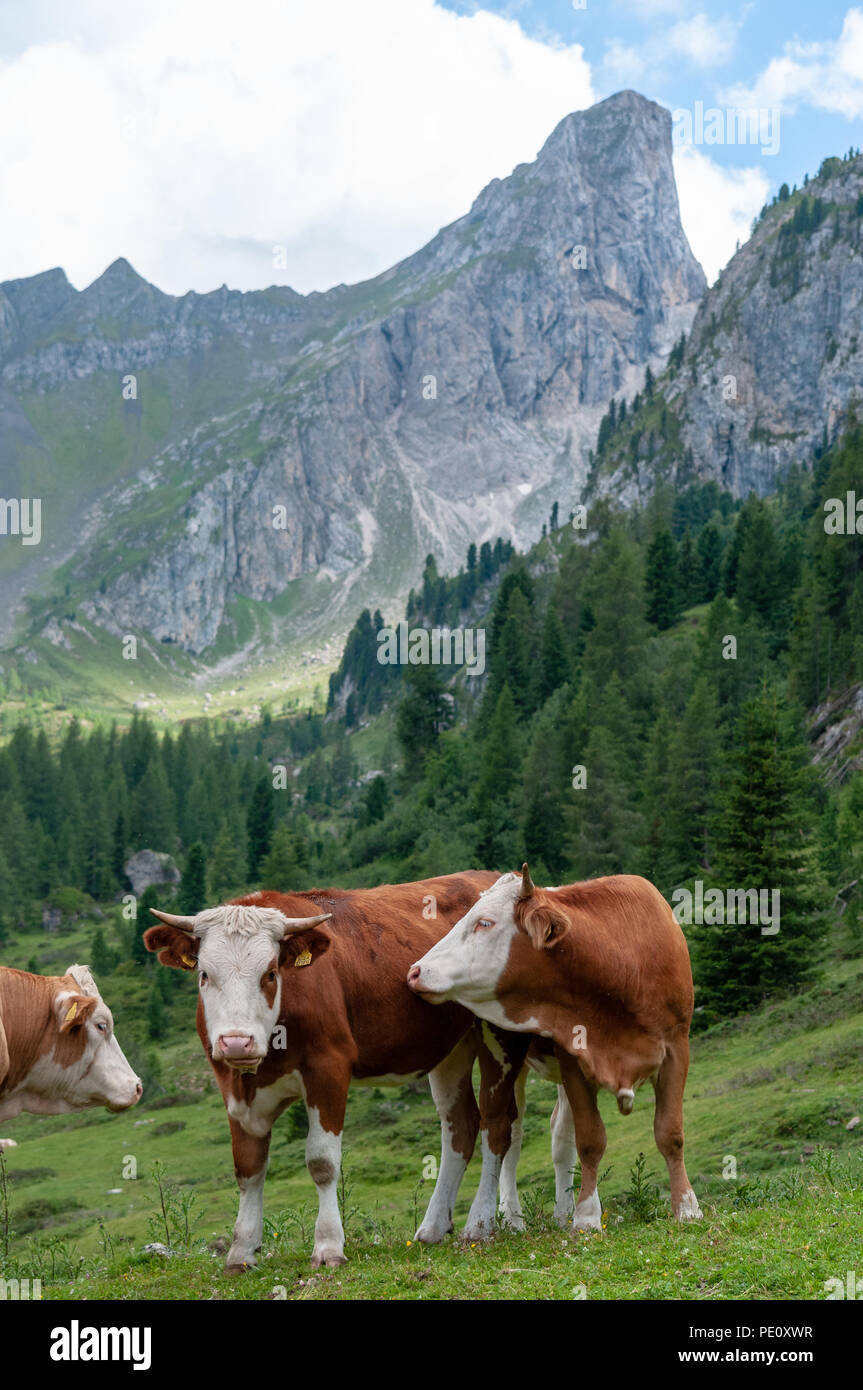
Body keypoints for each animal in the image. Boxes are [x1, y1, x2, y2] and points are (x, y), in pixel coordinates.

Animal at [144, 871, 536, 1271]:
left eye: (270, 974)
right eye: (205, 975)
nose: (236, 1042)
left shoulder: (329, 1069)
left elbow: (322, 1162)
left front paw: (329, 1246)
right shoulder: (233, 1087)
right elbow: (248, 1167)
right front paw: (241, 1251)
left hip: (500, 1037)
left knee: (496, 1124)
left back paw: (480, 1223)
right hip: (451, 1049)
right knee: (460, 1125)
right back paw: (433, 1227)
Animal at [408, 866, 703, 1232]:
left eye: (485, 923)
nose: (416, 971)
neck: (621, 965)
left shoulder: (677, 1048)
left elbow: (670, 1132)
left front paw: (687, 1207)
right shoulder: (573, 1059)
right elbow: (590, 1140)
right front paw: (587, 1217)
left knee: (559, 1136)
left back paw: (562, 1211)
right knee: (514, 1137)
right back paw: (514, 1217)